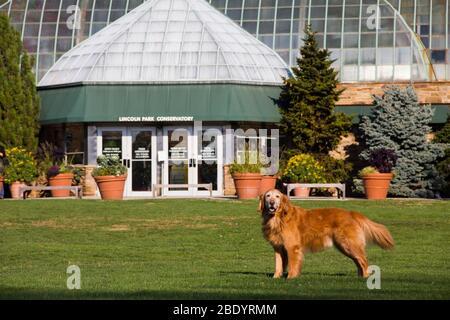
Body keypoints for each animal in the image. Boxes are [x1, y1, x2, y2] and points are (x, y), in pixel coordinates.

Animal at [260, 189, 394, 278]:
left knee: (364, 260)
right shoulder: (278, 248)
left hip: (348, 244)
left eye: (277, 196)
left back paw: (365, 277)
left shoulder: (292, 247)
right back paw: (360, 276)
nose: (271, 202)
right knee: (359, 261)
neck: (279, 218)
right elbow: (279, 264)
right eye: (268, 196)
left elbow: (293, 265)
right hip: (344, 246)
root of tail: (351, 213)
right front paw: (276, 277)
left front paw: (290, 278)